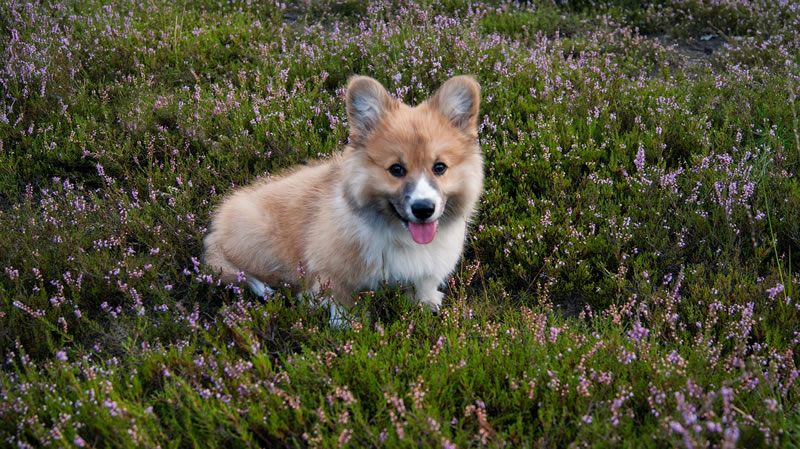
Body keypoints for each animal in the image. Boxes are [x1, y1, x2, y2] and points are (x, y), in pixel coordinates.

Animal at [203, 74, 484, 326]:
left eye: (439, 167)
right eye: (396, 169)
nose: (423, 209)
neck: (399, 234)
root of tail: (216, 229)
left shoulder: (429, 265)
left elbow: (423, 283)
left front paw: (426, 302)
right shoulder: (330, 270)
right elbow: (341, 300)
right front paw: (350, 324)